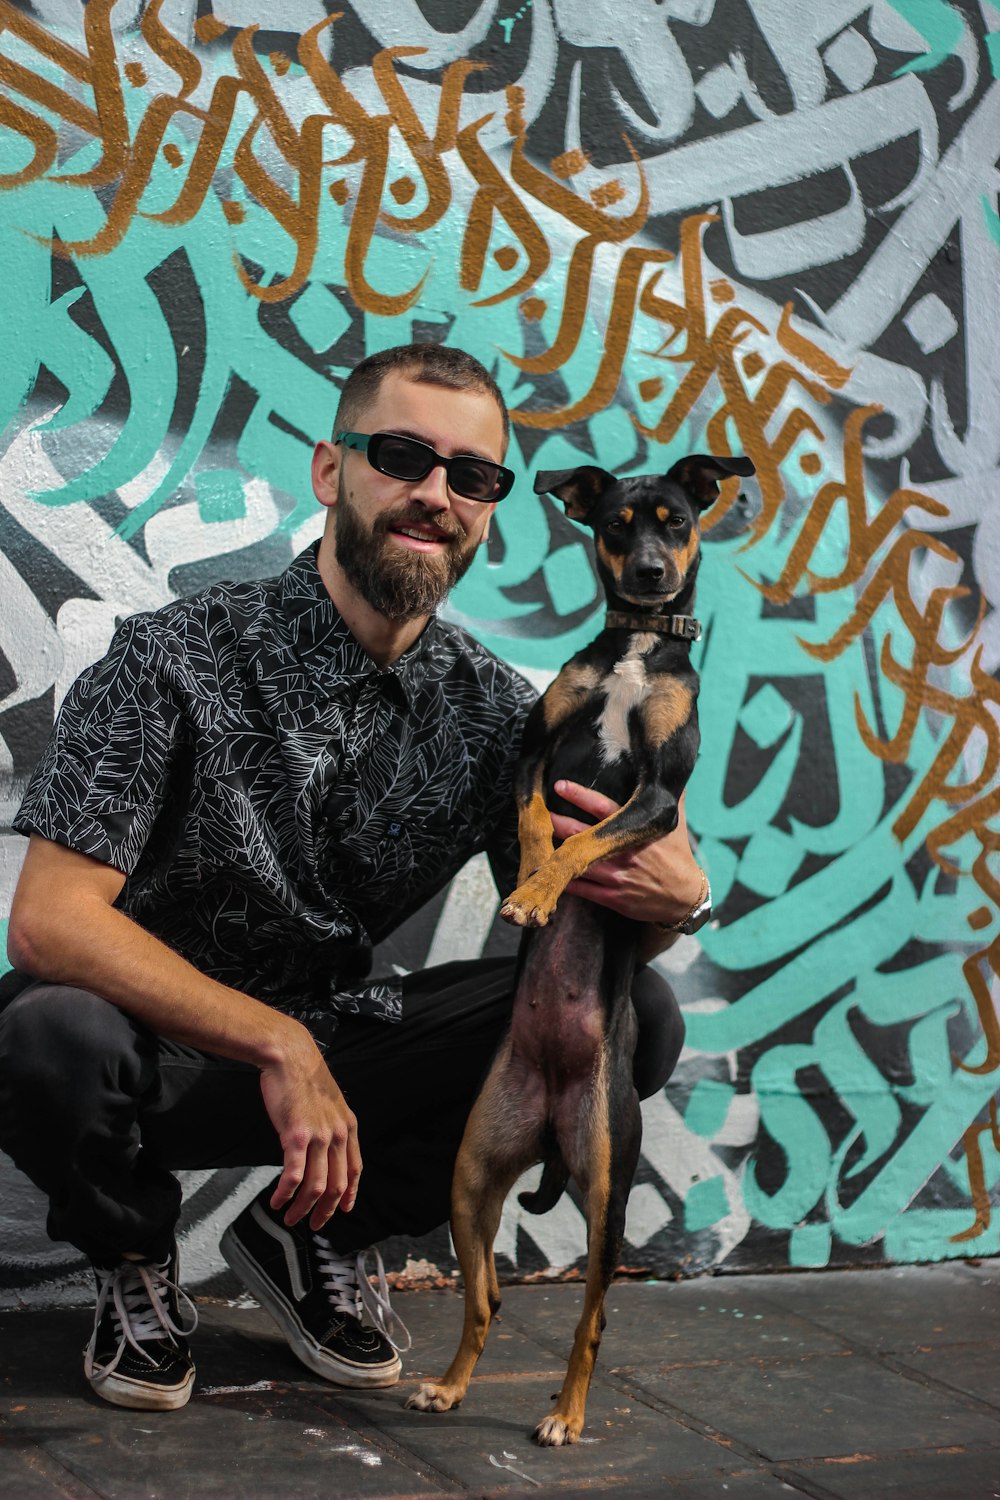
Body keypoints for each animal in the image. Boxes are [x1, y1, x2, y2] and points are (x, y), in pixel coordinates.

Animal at [401, 450, 755, 1446]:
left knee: (593, 1318)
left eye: (676, 521)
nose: (652, 576)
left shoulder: (659, 797)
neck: (635, 651)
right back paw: (451, 1387)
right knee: (487, 1297)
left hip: (607, 1183)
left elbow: (587, 841)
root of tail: (556, 1122)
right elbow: (537, 822)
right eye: (617, 523)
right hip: (469, 1175)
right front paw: (526, 882)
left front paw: (538, 891)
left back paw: (565, 1413)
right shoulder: (532, 752)